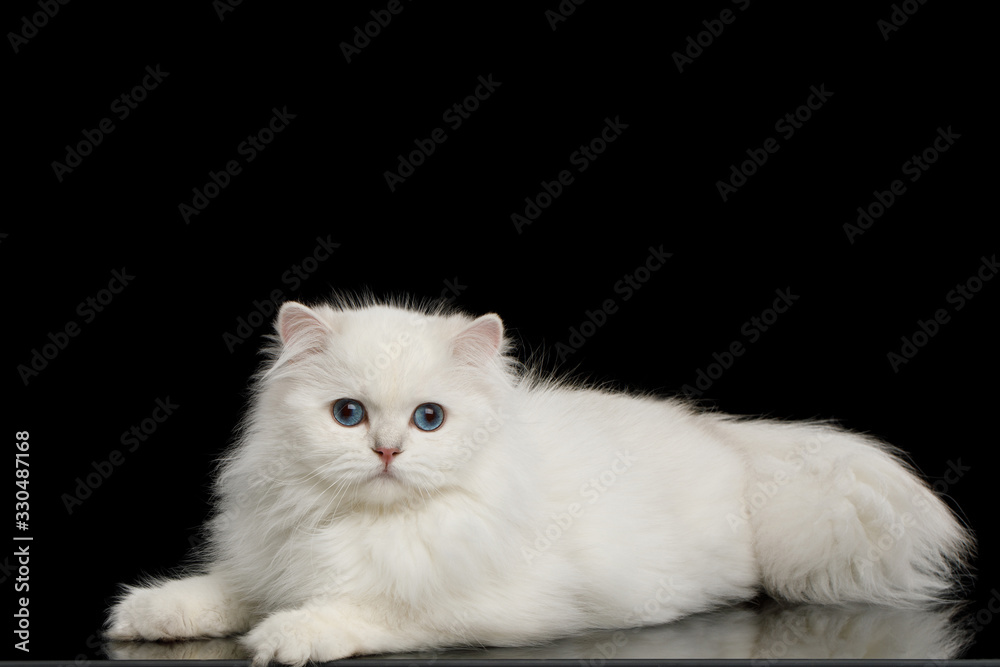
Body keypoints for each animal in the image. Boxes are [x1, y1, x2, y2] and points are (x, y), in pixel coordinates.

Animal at [105, 298, 972, 667]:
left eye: (428, 419)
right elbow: (223, 590)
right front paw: (151, 615)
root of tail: (731, 436)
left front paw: (289, 636)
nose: (386, 450)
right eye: (348, 414)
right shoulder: (269, 561)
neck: (362, 521)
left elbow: (372, 610)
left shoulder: (484, 605)